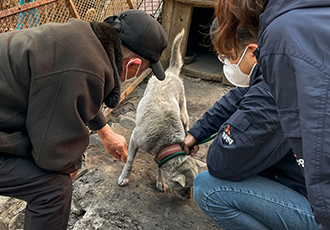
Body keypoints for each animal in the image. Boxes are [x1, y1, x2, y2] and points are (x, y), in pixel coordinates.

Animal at [118, 28, 206, 198]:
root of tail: (169, 73)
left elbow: (159, 166)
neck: (166, 140)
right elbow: (130, 160)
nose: (187, 197)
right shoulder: (134, 139)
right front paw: (125, 177)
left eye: (192, 187)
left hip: (183, 113)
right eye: (184, 187)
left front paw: (160, 182)